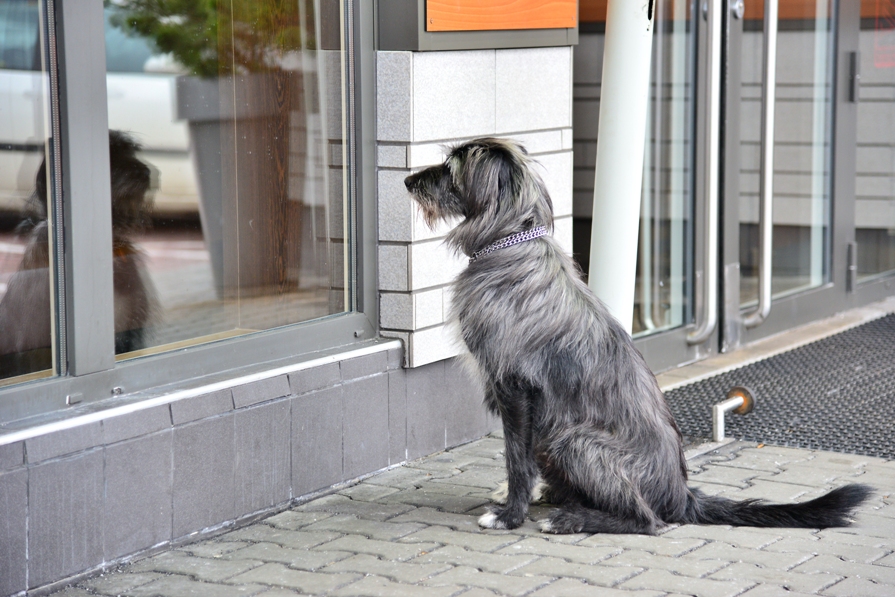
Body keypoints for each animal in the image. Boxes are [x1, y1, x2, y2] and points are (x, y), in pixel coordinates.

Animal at [404, 137, 868, 532]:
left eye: (450, 168)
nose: (407, 181)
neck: (508, 245)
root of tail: (681, 496)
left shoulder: (517, 389)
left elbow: (516, 459)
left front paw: (509, 515)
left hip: (574, 439)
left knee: (648, 521)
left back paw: (573, 519)